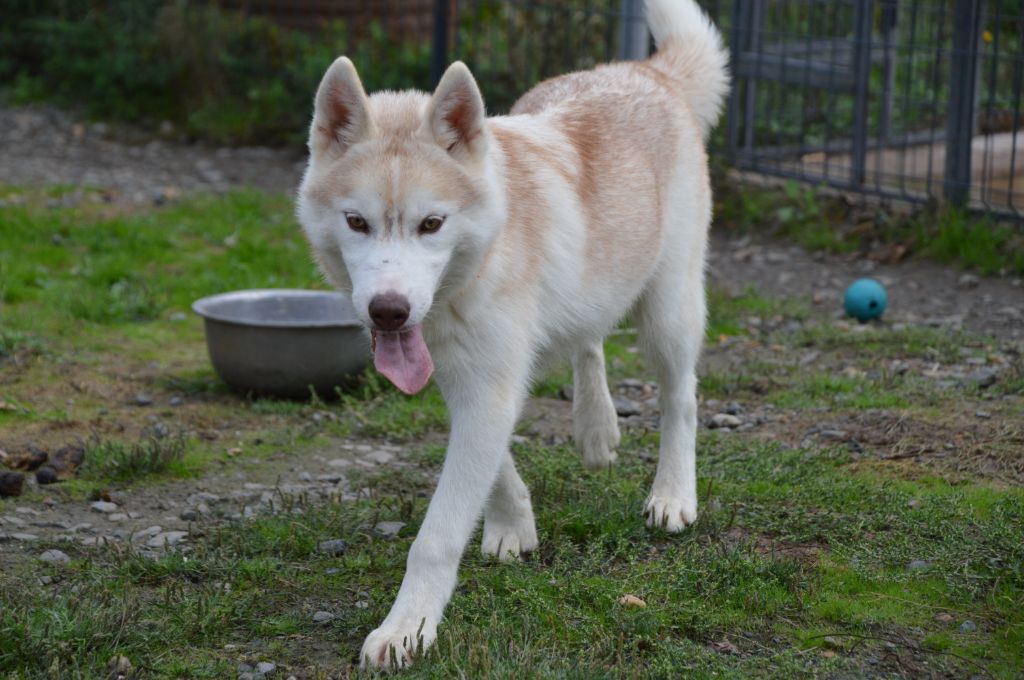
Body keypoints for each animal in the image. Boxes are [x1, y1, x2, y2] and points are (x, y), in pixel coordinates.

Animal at [296, 0, 729, 668]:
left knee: (680, 397)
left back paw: (674, 496)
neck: (474, 272)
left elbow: (436, 534)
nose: (389, 311)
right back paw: (596, 429)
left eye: (431, 223)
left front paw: (407, 629)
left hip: (667, 313)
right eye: (356, 222)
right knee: (588, 339)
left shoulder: (487, 387)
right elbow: (495, 465)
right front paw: (513, 526)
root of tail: (649, 72)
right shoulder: (465, 380)